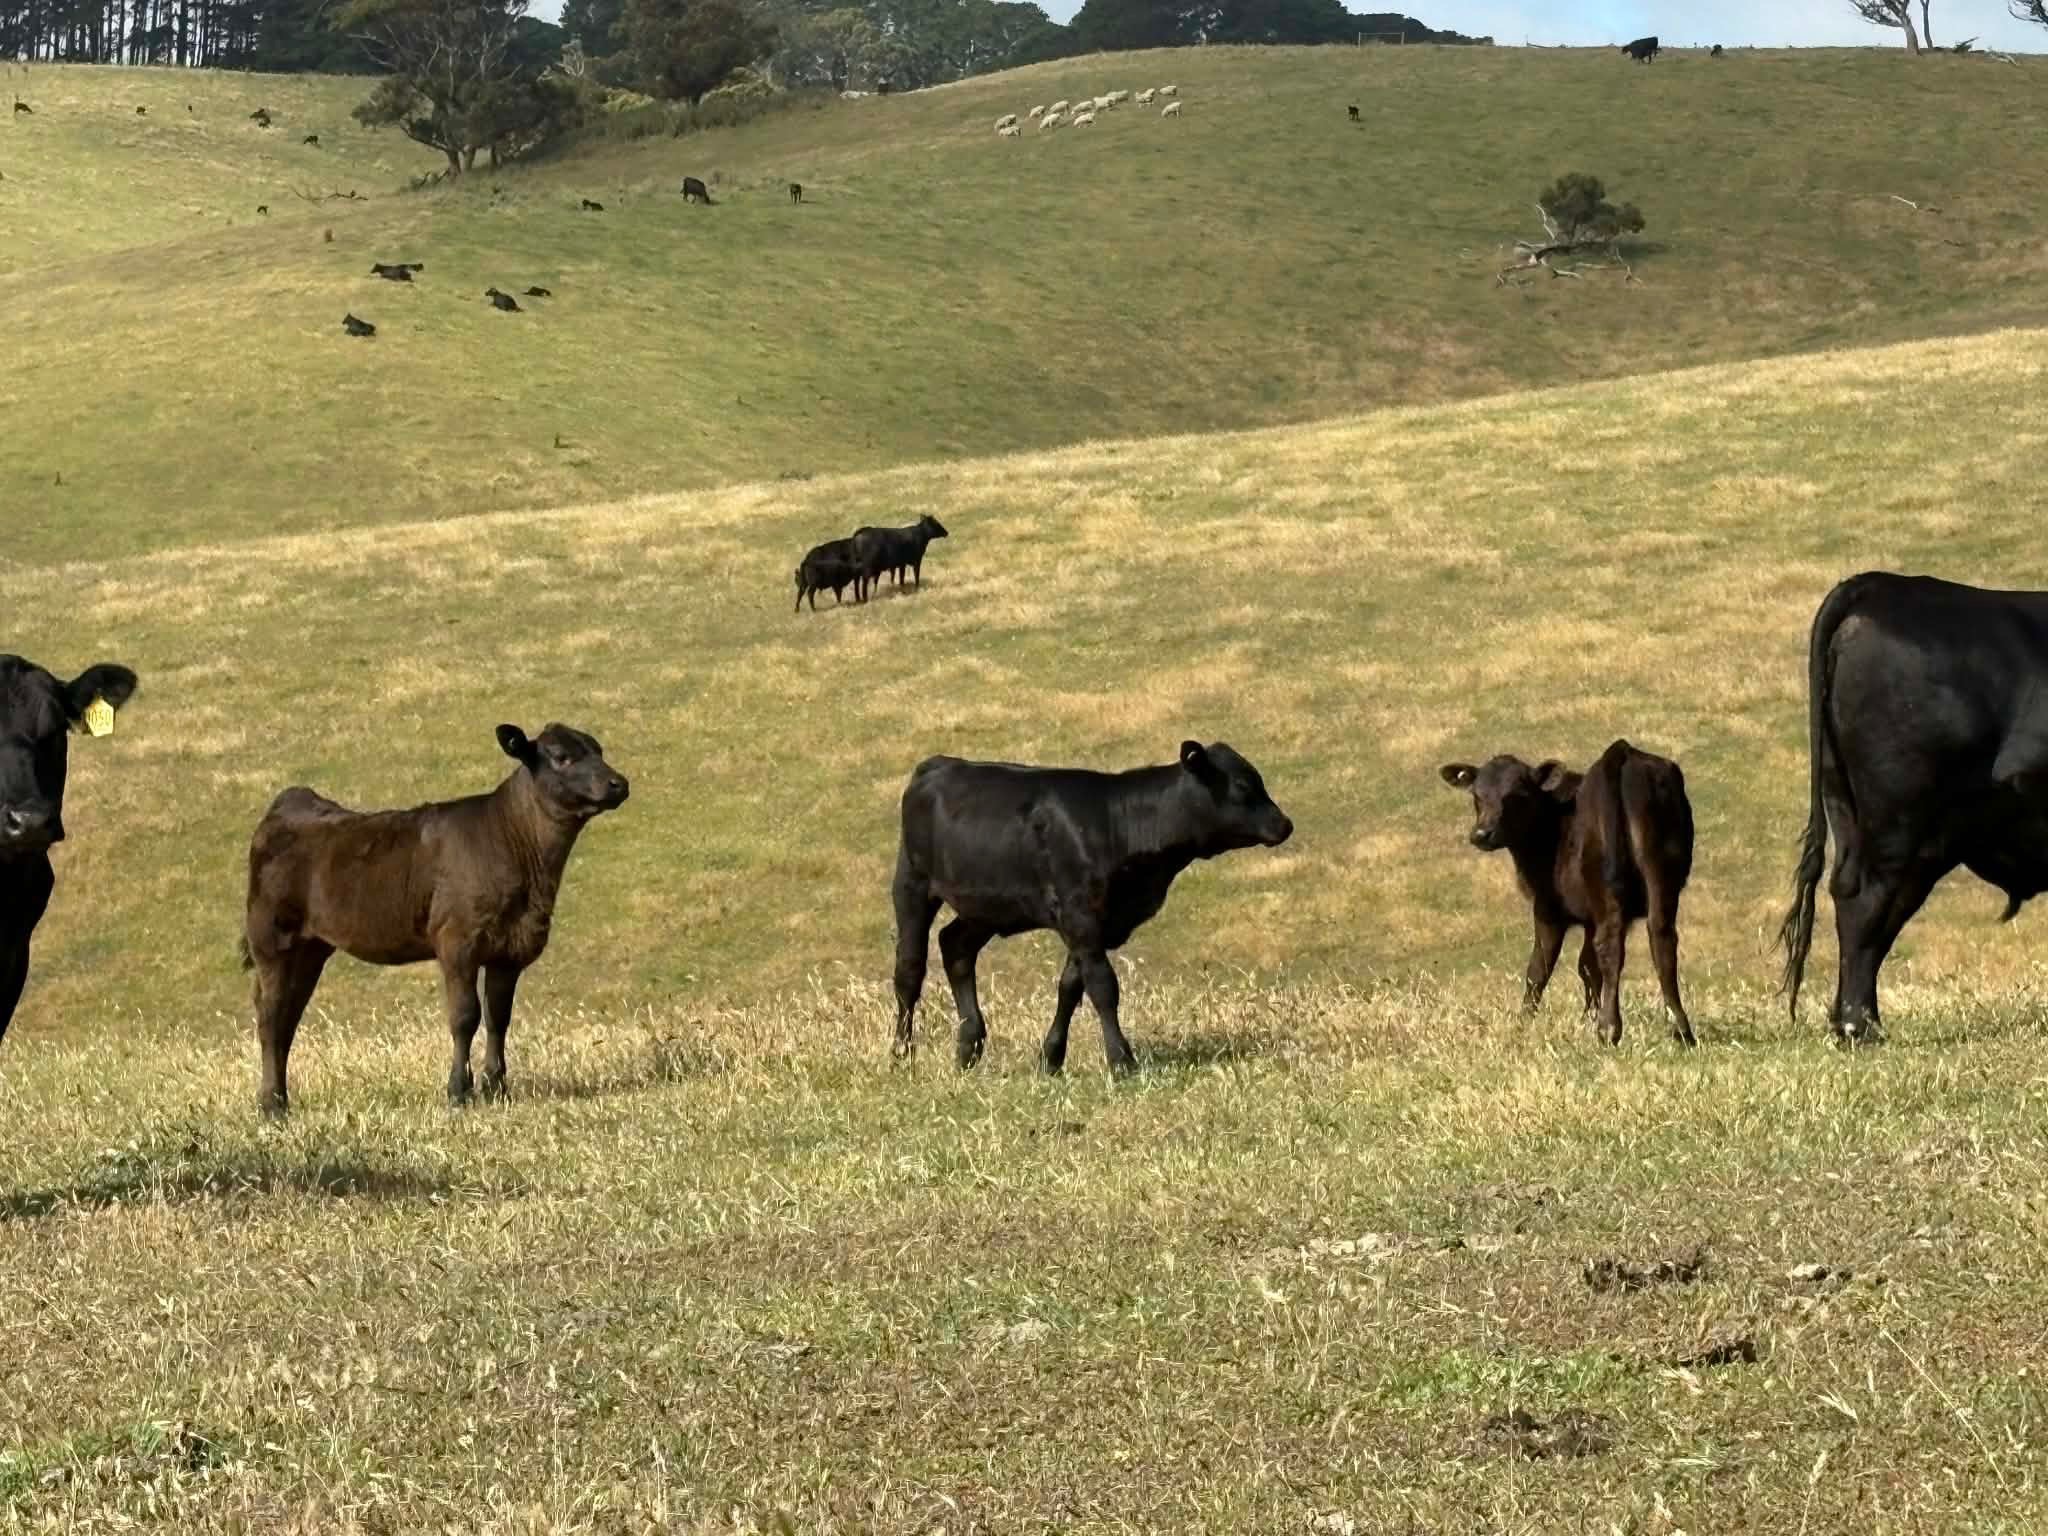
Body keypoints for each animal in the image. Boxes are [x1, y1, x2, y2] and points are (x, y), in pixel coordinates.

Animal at [240, 723, 629, 1115]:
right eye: (562, 757)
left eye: (598, 750)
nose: (619, 783)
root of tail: (293, 800)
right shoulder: (458, 942)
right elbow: (465, 1016)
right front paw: (459, 1091)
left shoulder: (510, 950)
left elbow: (498, 1018)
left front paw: (496, 1088)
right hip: (271, 938)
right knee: (271, 1016)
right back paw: (271, 1105)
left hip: (310, 948)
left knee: (288, 1017)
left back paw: (280, 1099)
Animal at [892, 741, 1292, 1074]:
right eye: (1243, 786)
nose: (1284, 824)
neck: (1121, 823)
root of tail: (939, 763)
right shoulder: (1080, 914)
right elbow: (1103, 986)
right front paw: (1121, 1061)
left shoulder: (1097, 923)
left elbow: (1071, 987)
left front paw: (1051, 1059)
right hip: (912, 884)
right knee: (909, 970)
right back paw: (901, 1054)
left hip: (987, 906)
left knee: (956, 947)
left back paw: (968, 1047)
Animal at [1440, 739, 1695, 1047]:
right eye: (1476, 794)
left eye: (1517, 795)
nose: (1482, 834)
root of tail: (1622, 753)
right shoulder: (1589, 916)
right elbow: (1587, 966)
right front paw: (1587, 1016)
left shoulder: (1548, 908)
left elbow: (1539, 968)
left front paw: (1523, 1023)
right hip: (1660, 872)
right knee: (1661, 938)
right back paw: (1681, 1031)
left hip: (1606, 889)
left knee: (1610, 946)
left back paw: (1609, 1029)